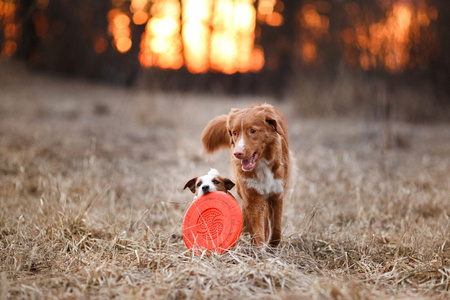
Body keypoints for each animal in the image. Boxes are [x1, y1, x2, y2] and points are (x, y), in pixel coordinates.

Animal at [201, 103, 292, 246]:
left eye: (253, 131)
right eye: (234, 132)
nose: (237, 153)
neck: (261, 165)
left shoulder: (277, 194)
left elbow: (276, 229)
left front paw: (272, 246)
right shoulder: (252, 197)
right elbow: (258, 230)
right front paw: (259, 248)